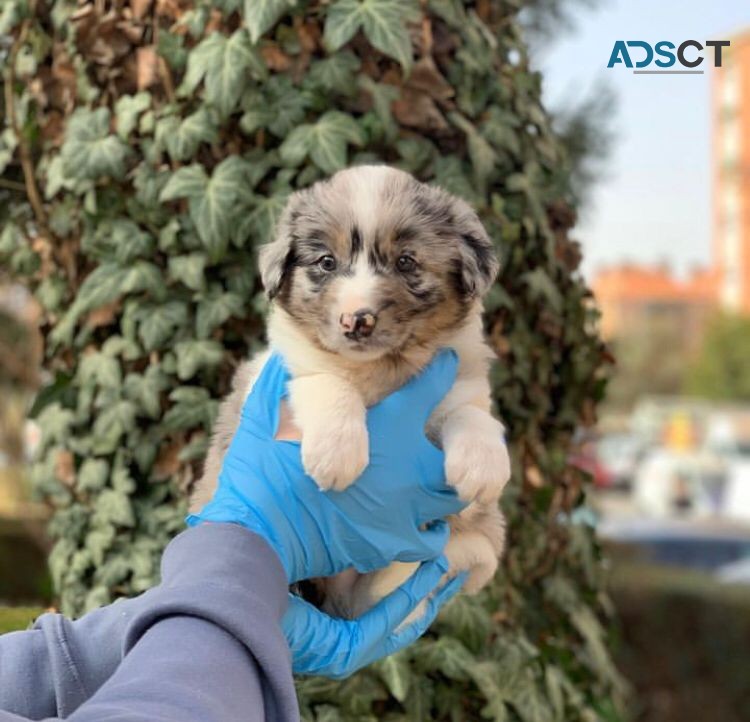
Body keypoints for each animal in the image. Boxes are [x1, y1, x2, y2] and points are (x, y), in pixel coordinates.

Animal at [191, 165, 516, 620]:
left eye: (406, 261)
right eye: (326, 262)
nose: (355, 320)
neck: (379, 371)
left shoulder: (459, 380)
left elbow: (469, 412)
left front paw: (482, 467)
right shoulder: (282, 371)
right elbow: (325, 379)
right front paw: (337, 454)